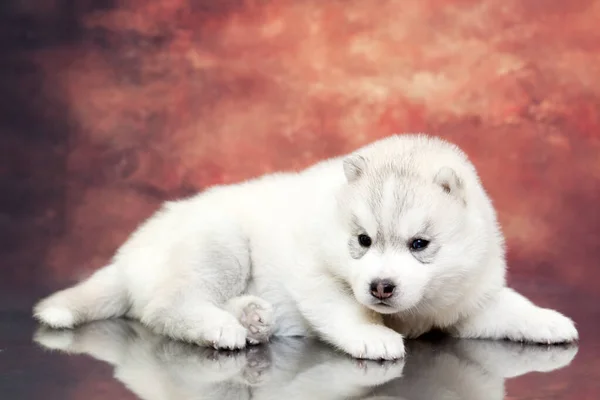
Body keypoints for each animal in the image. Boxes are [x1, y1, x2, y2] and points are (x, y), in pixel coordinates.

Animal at [31, 134, 576, 360]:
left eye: (420, 244)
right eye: (363, 241)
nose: (380, 287)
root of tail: (126, 257)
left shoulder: (468, 298)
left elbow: (510, 307)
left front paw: (549, 321)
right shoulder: (317, 278)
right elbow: (345, 308)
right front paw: (373, 336)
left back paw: (253, 318)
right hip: (219, 242)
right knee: (167, 305)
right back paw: (222, 328)